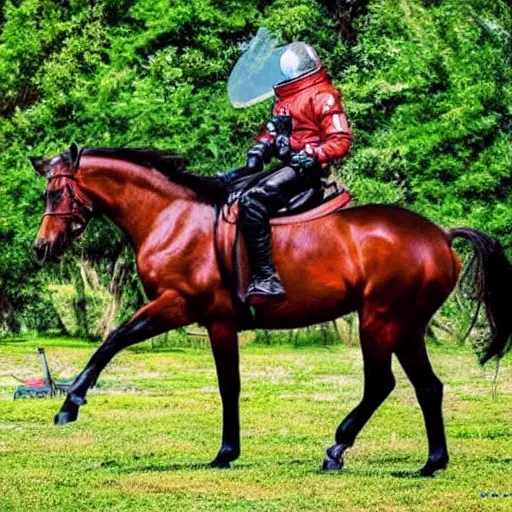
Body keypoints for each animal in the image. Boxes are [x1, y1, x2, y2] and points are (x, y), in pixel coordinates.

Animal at [31, 143, 512, 476]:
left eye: (57, 192)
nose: (41, 248)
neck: (172, 218)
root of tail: (441, 235)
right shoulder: (200, 316)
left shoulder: (186, 308)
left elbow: (117, 343)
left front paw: (71, 402)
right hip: (407, 326)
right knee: (428, 387)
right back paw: (432, 462)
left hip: (380, 321)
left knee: (381, 383)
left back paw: (337, 449)